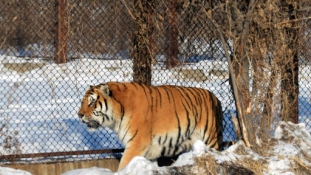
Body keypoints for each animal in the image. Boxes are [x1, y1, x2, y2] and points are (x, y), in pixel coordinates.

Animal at [78, 82, 224, 171]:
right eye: (82, 102)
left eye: (91, 103)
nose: (79, 115)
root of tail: (216, 98)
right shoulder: (151, 149)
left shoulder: (136, 144)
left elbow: (123, 165)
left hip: (211, 138)